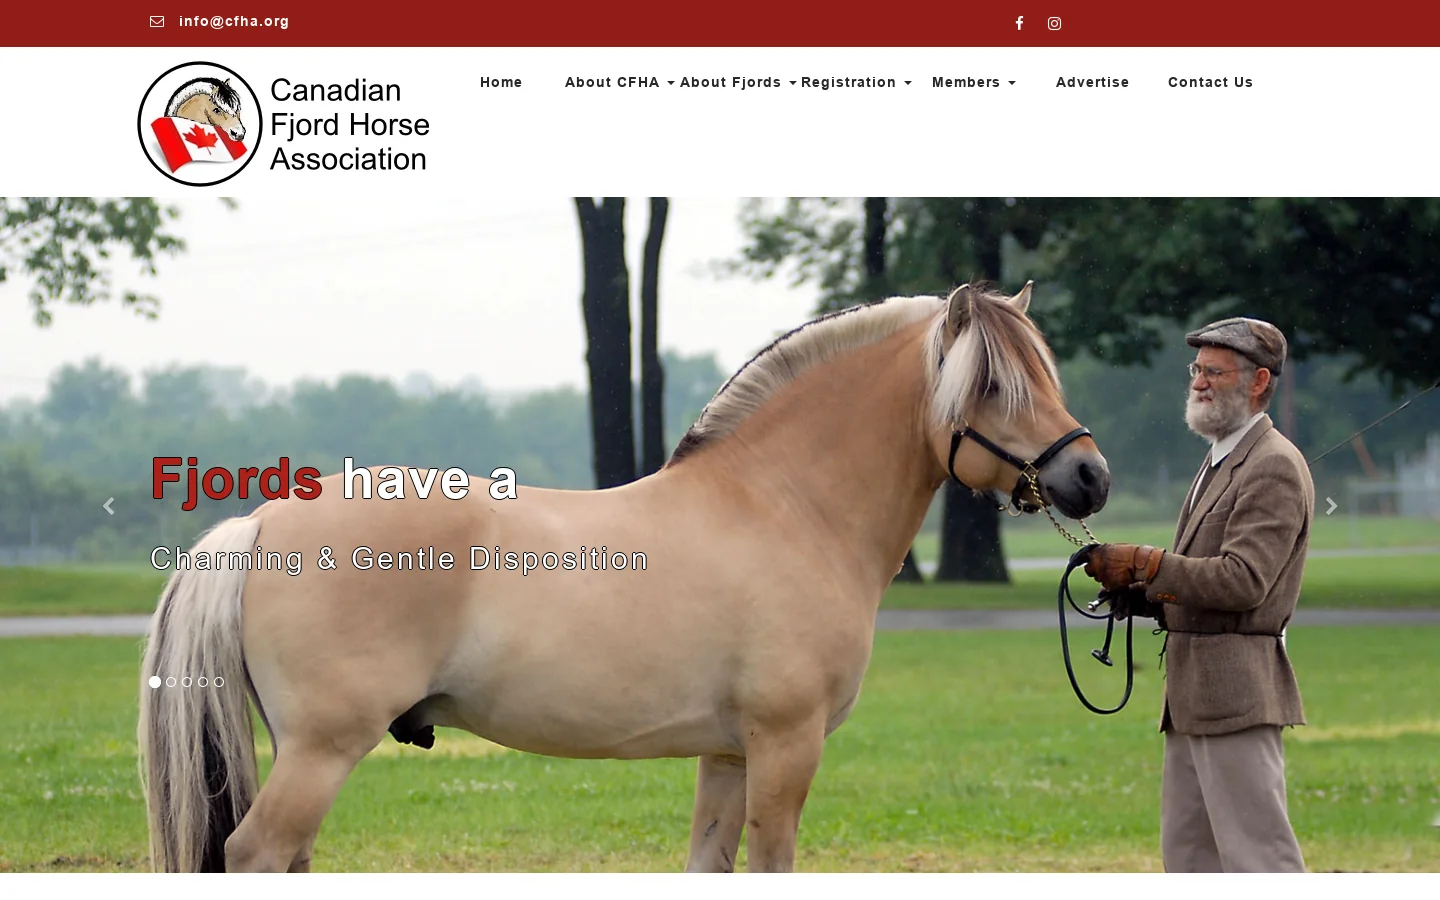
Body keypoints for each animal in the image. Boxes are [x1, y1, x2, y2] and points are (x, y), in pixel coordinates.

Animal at [137, 282, 1110, 873]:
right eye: (992, 385)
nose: (1090, 478)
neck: (785, 506)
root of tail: (264, 521)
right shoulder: (786, 746)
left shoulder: (729, 753)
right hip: (322, 749)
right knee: (257, 853)